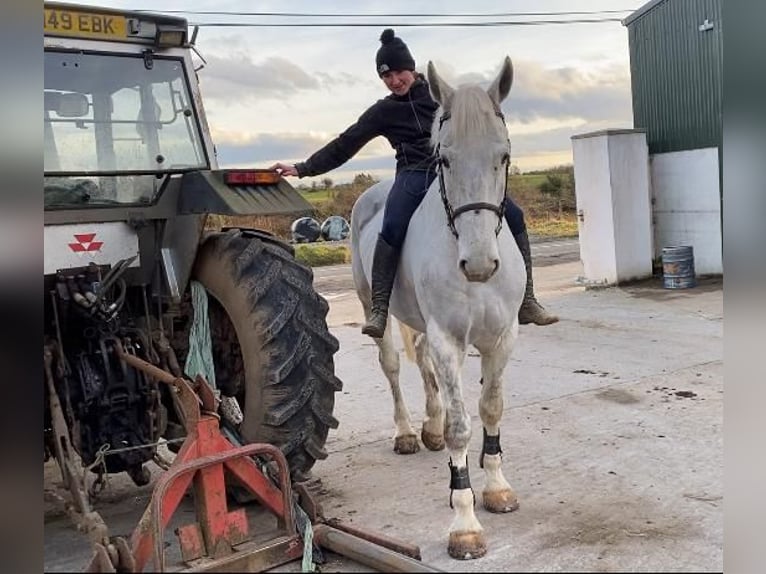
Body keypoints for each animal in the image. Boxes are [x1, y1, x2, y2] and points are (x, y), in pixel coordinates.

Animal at [350, 58, 524, 564]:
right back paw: (408, 432)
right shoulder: (450, 341)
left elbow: (490, 407)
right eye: (443, 159)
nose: (480, 265)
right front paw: (464, 524)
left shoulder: (501, 338)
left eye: (503, 156)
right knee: (391, 366)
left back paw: (429, 425)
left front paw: (497, 487)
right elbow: (462, 428)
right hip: (374, 308)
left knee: (423, 362)